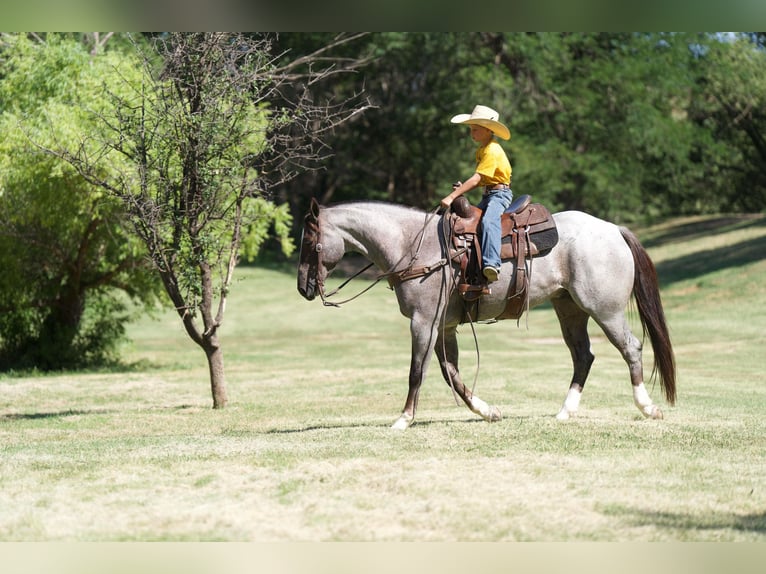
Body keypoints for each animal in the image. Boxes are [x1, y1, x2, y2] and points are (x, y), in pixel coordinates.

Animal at [297, 198, 676, 430]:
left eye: (310, 243)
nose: (303, 288)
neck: (412, 245)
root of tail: (614, 229)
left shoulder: (423, 322)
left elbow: (417, 372)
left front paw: (403, 419)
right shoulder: (443, 327)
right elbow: (451, 374)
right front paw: (488, 411)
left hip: (604, 309)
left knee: (630, 348)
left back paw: (647, 407)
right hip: (569, 309)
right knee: (584, 356)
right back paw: (565, 412)